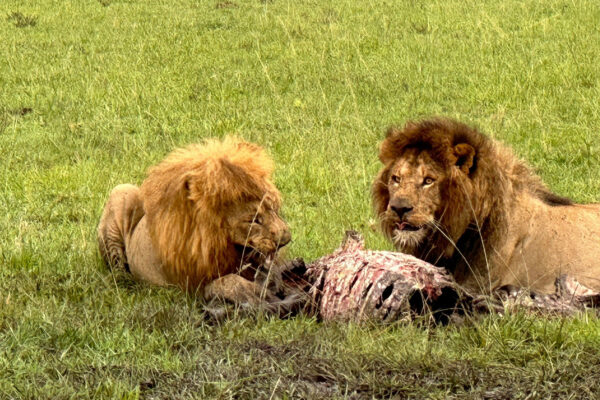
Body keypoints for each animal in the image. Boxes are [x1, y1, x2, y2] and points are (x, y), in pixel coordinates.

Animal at [97, 136, 292, 304]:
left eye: (274, 209)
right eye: (253, 220)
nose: (286, 240)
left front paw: (273, 279)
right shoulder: (191, 289)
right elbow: (226, 281)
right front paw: (252, 293)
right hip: (121, 191)